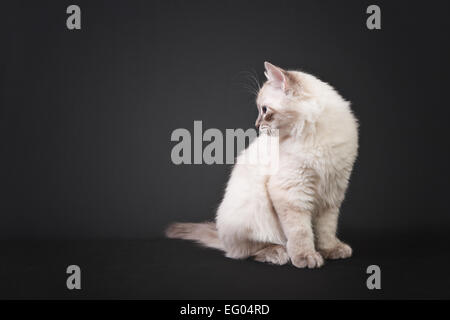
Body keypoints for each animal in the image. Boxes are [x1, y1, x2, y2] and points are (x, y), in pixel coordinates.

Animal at [166, 62, 358, 268]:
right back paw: (277, 253)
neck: (314, 135)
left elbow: (326, 229)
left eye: (265, 110)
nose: (257, 125)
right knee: (248, 250)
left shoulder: (333, 189)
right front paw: (306, 257)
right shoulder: (291, 191)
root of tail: (222, 238)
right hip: (256, 207)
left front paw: (331, 250)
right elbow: (300, 231)